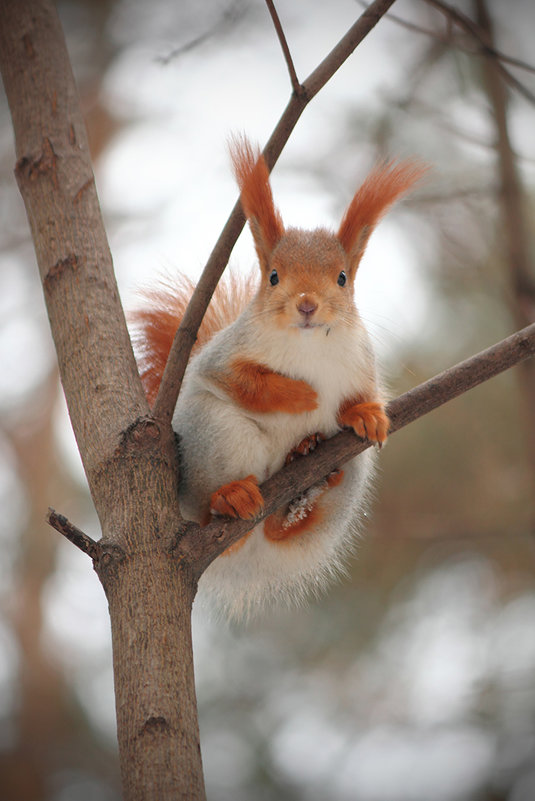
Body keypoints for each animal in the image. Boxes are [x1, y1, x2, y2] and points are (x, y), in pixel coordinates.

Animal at [134, 138, 428, 620]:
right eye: (273, 276)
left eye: (342, 278)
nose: (307, 304)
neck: (307, 345)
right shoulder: (221, 358)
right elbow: (240, 380)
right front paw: (301, 395)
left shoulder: (361, 364)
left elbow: (360, 396)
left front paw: (366, 413)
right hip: (216, 437)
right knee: (214, 508)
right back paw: (231, 498)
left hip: (354, 464)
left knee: (285, 523)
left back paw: (302, 488)